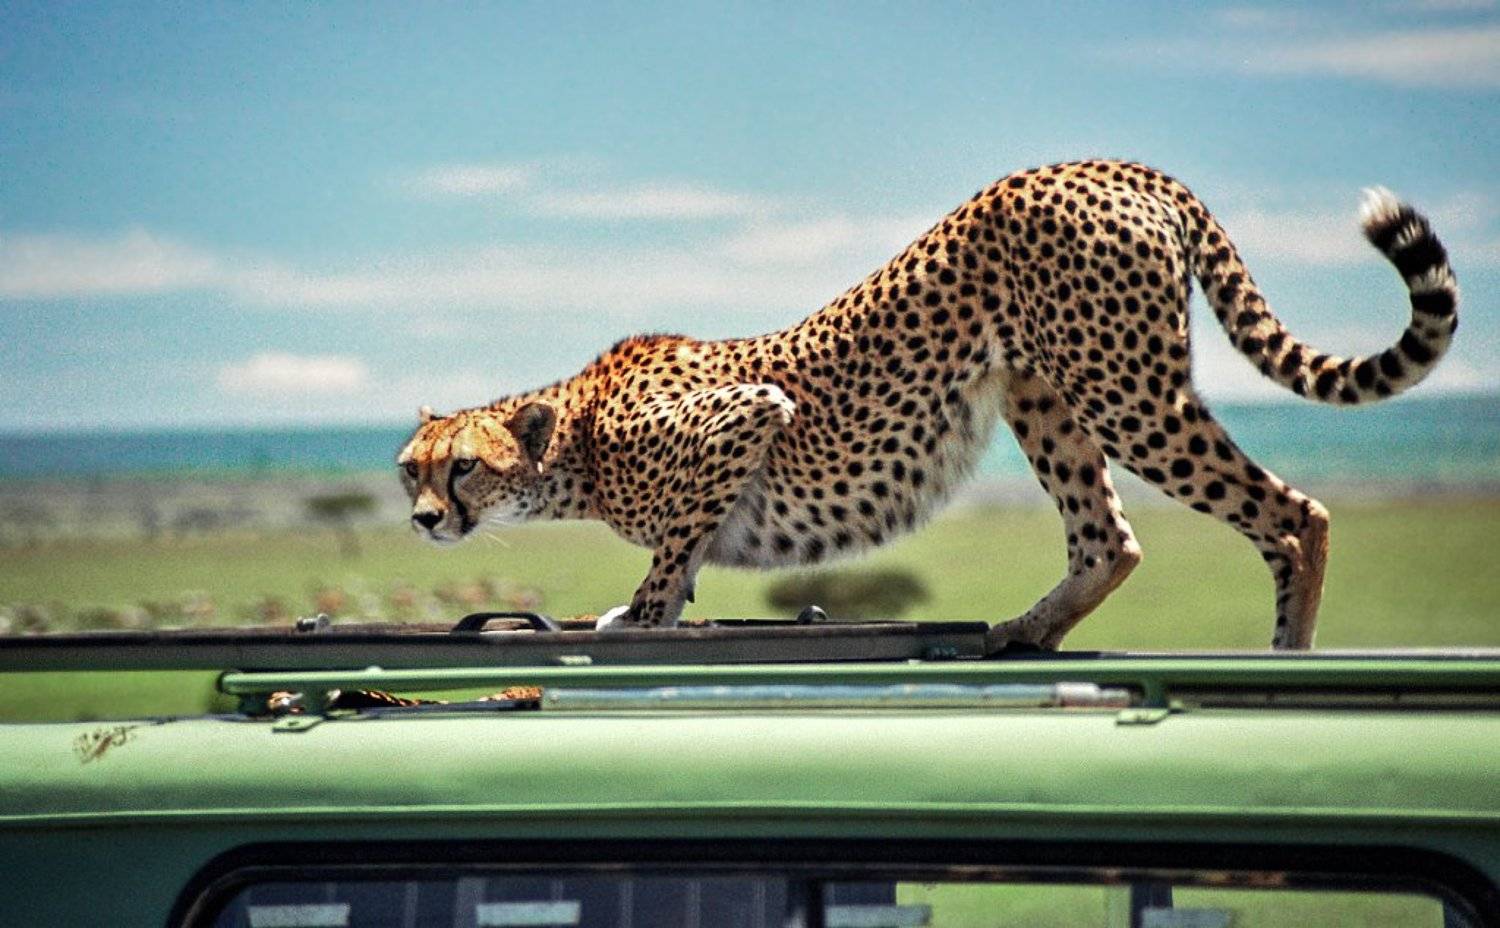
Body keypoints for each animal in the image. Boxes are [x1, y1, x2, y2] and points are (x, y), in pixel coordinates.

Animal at [398, 160, 1459, 651]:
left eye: (465, 467)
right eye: (411, 470)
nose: (420, 520)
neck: (574, 437)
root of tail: (1112, 164)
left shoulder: (747, 414)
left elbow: (673, 551)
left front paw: (640, 615)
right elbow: (687, 550)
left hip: (1125, 389)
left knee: (1293, 515)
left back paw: (1286, 648)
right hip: (1044, 391)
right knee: (1109, 539)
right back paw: (1027, 628)